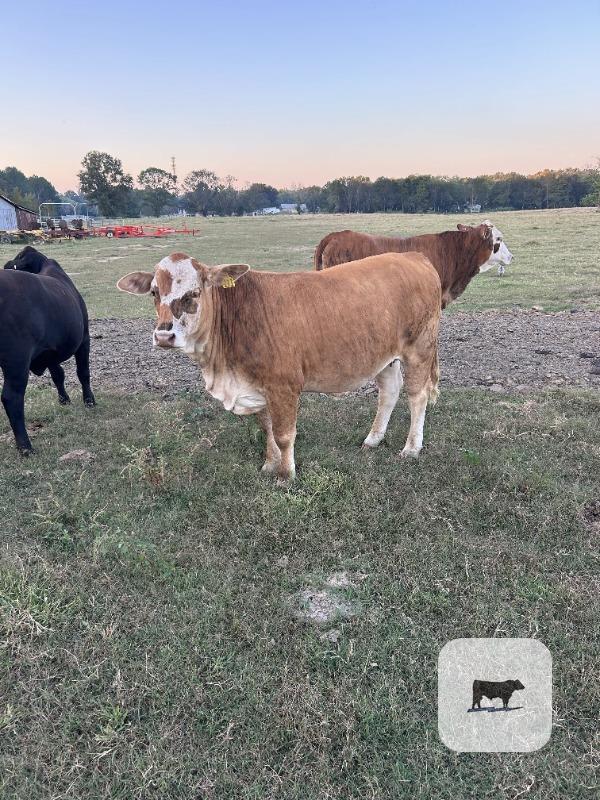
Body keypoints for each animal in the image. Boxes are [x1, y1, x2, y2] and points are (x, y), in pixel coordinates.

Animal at [1, 246, 95, 454]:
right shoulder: (84, 338)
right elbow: (83, 373)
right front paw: (90, 400)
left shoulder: (49, 352)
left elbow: (58, 375)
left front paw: (64, 399)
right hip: (17, 361)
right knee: (11, 398)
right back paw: (25, 447)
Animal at [117, 252, 442, 482]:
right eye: (154, 292)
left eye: (194, 293)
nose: (163, 336)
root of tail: (414, 256)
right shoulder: (256, 387)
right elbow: (267, 429)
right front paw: (269, 465)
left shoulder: (284, 386)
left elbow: (284, 435)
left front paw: (286, 475)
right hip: (384, 356)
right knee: (389, 393)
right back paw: (372, 440)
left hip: (419, 349)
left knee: (417, 396)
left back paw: (411, 448)